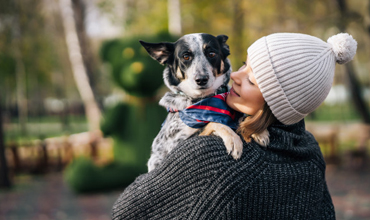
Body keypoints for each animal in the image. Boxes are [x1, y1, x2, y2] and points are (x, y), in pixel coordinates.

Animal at [140, 34, 268, 172]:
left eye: (211, 53)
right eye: (186, 56)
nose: (201, 79)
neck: (206, 99)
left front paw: (257, 129)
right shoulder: (174, 146)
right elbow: (214, 123)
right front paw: (233, 139)